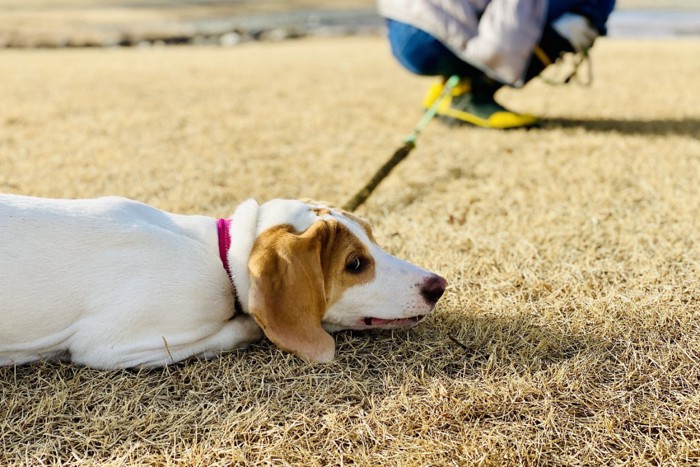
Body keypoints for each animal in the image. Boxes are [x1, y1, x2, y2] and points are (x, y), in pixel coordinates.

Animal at [0, 194, 446, 370]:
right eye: (354, 263)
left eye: (374, 236)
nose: (438, 285)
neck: (219, 256)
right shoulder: (110, 347)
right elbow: (243, 328)